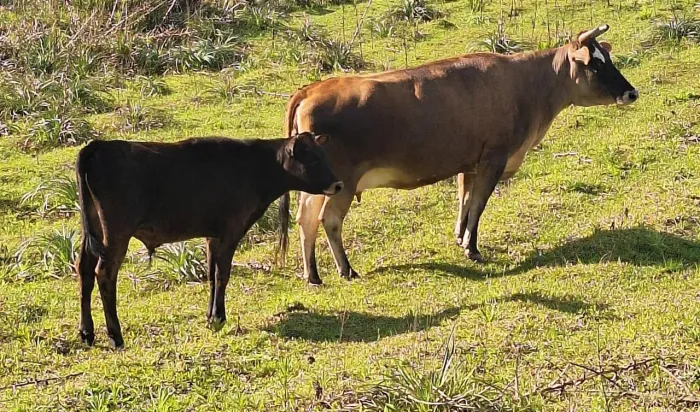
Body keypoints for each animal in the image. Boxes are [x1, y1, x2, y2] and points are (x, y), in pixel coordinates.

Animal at [75, 132, 342, 348]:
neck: (255, 167)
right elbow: (222, 274)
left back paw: (87, 333)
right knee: (104, 274)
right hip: (116, 233)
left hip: (94, 230)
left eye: (325, 156)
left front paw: (211, 316)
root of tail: (99, 146)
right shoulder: (231, 231)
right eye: (313, 159)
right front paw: (219, 317)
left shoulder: (212, 235)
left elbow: (212, 274)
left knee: (84, 269)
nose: (338, 184)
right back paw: (115, 336)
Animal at [276, 24, 638, 285]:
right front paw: (472, 248)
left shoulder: (470, 162)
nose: (631, 92)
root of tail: (313, 88)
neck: (528, 86)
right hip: (343, 181)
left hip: (320, 183)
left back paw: (312, 275)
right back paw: (346, 269)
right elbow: (478, 204)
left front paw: (460, 237)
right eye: (595, 65)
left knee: (305, 219)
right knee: (328, 220)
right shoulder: (494, 157)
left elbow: (464, 200)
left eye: (608, 59)